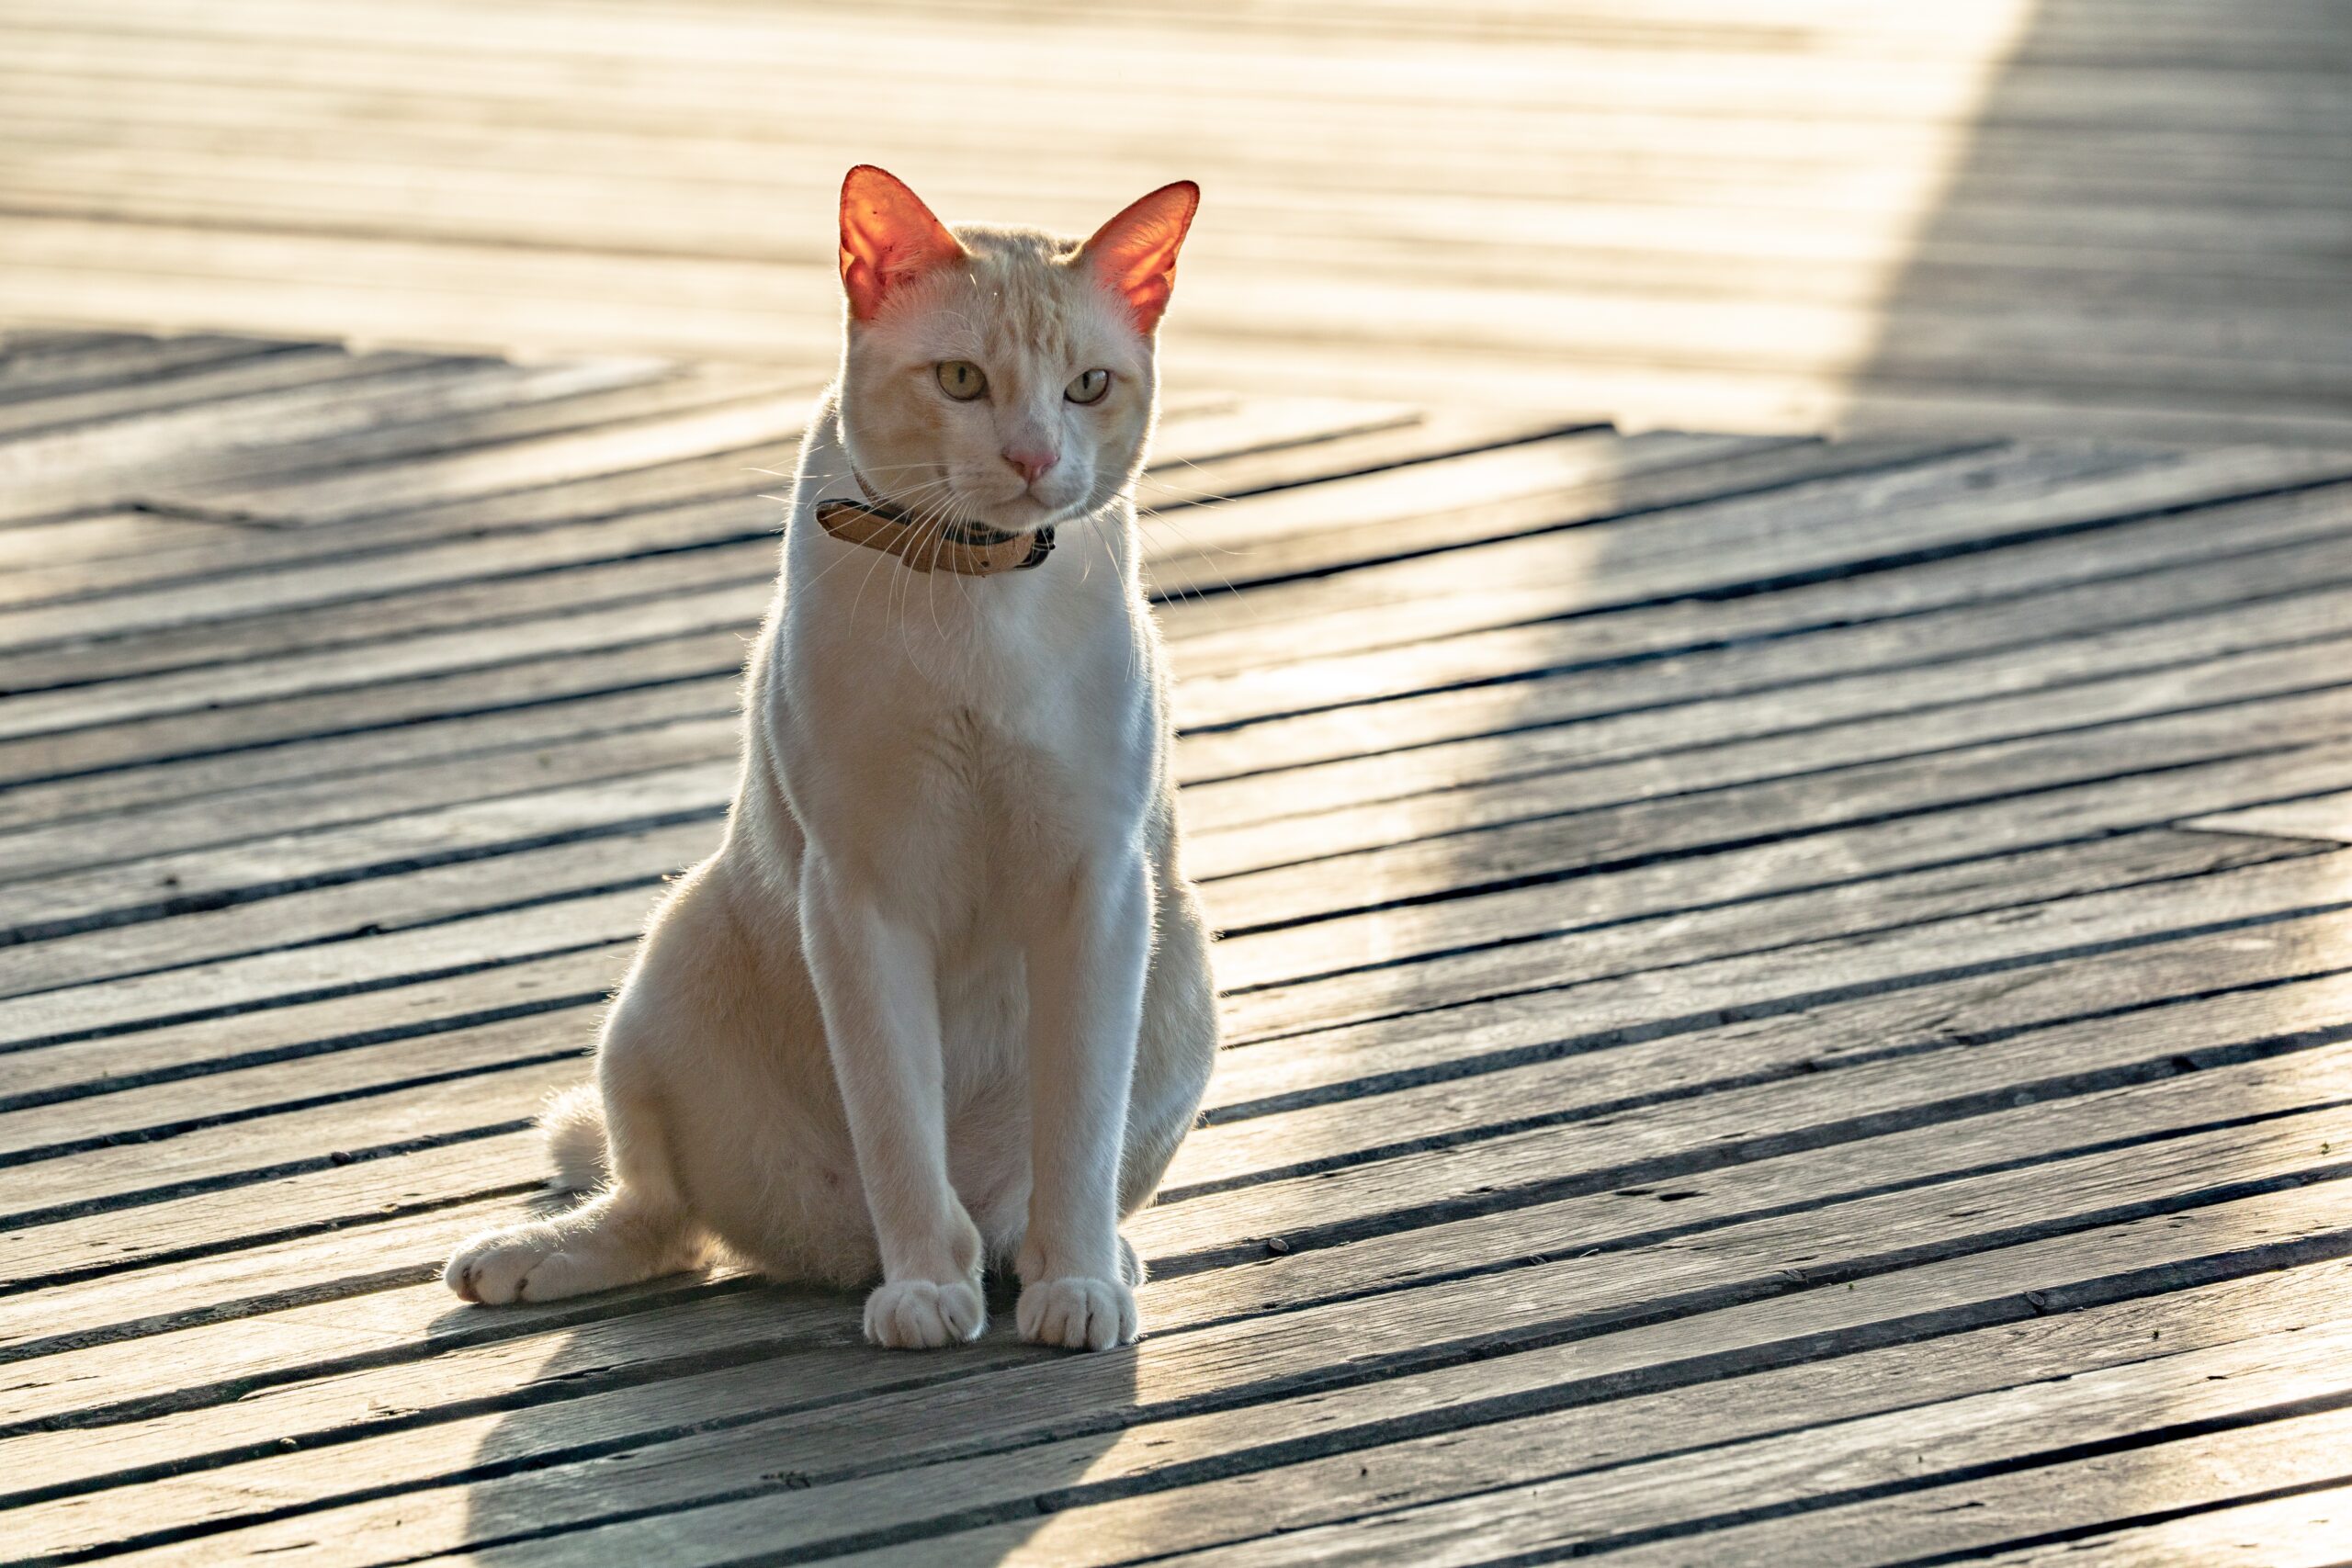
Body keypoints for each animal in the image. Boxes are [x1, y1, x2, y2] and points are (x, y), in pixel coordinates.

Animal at [442, 165, 1223, 1354]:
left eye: (1088, 386)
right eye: (960, 381)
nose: (1034, 459)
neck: (972, 589)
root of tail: (831, 1253)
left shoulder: (1095, 887)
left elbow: (1077, 1133)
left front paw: (1079, 1283)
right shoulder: (858, 893)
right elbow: (897, 1124)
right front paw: (926, 1290)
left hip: (1180, 969)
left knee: (1017, 1214)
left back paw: (1075, 1258)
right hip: (670, 958)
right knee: (664, 1217)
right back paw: (537, 1257)